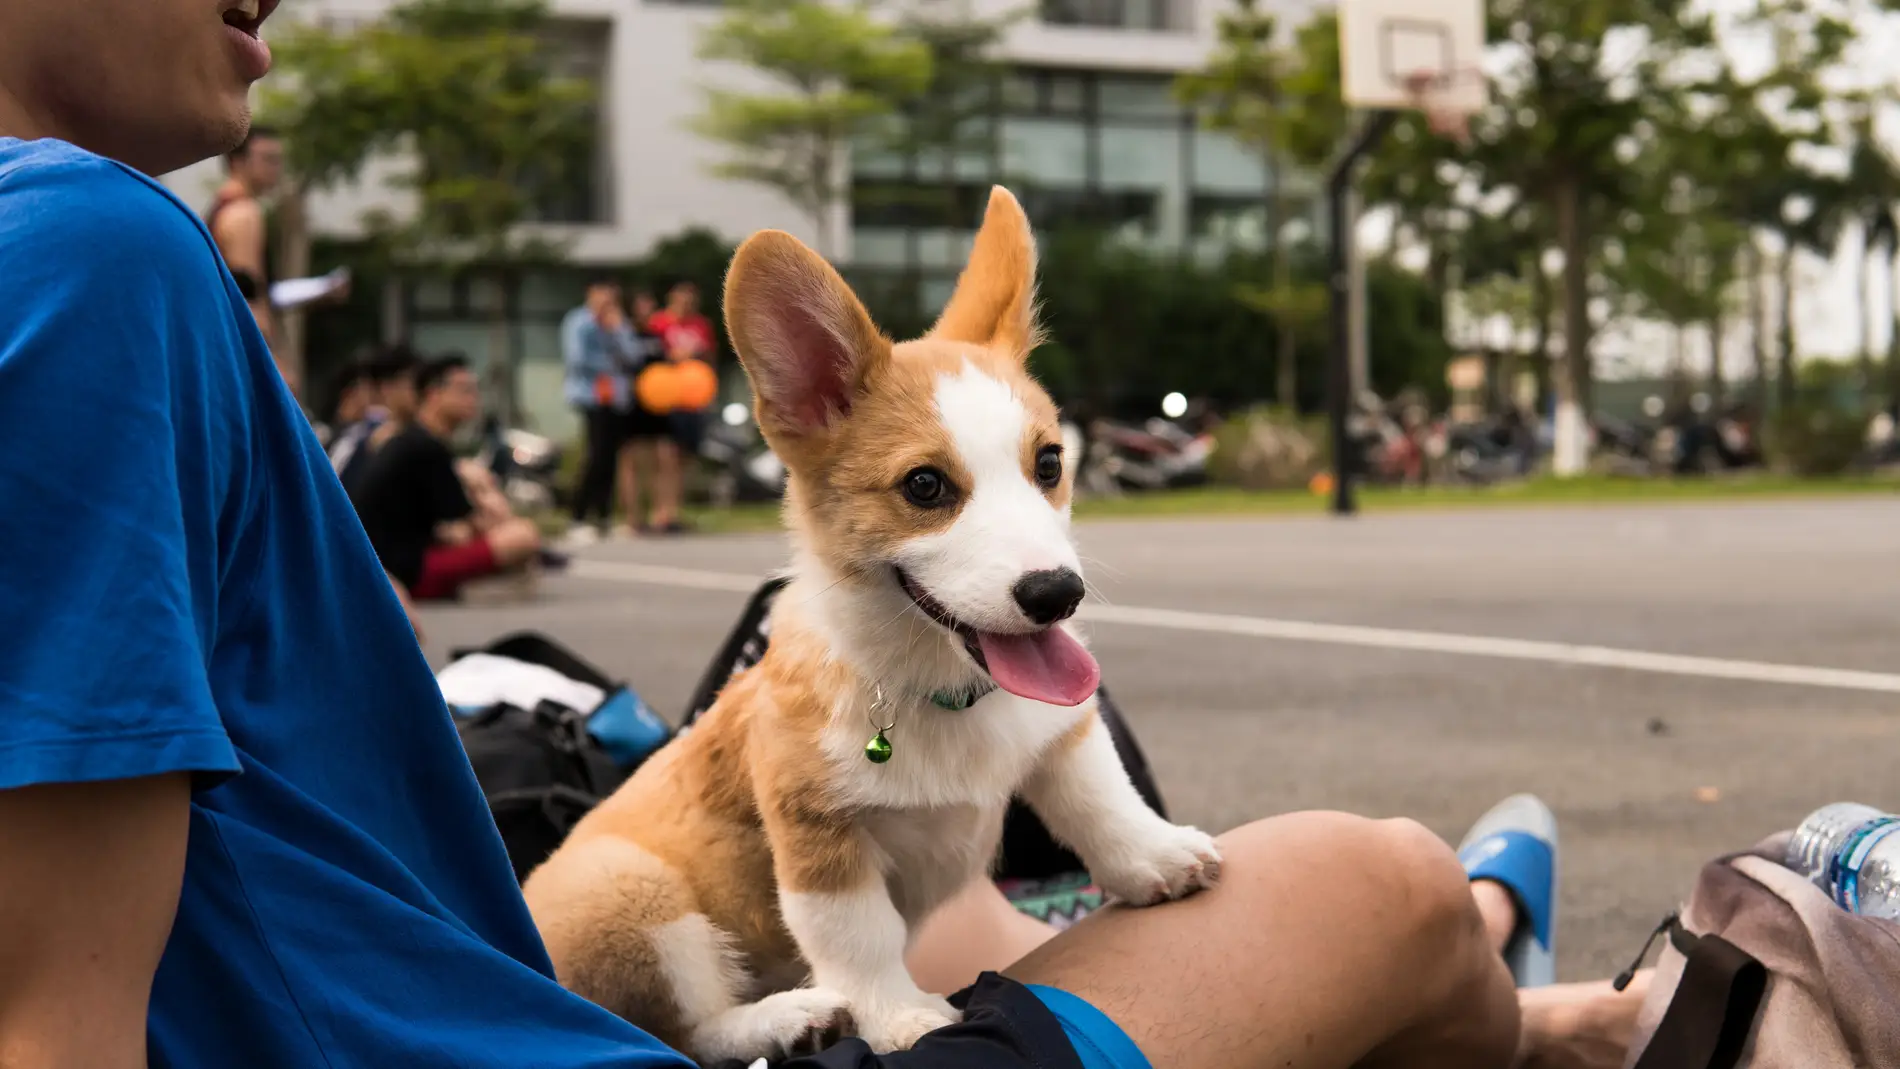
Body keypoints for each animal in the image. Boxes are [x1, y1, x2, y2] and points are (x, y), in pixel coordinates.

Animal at [528, 187, 1223, 1063]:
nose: (1056, 593)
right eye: (924, 486)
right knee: (681, 1027)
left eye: (1050, 464)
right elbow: (860, 936)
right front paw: (900, 1017)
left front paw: (1153, 857)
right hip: (631, 887)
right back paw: (789, 1017)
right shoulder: (817, 835)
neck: (936, 687)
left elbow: (1098, 795)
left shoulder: (1059, 734)